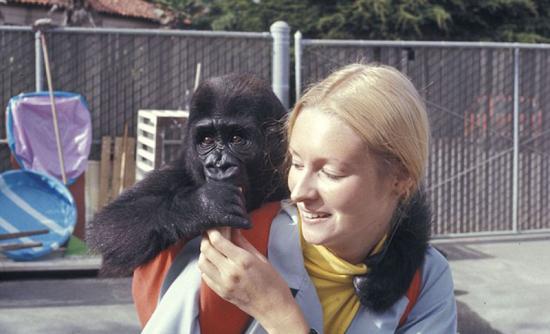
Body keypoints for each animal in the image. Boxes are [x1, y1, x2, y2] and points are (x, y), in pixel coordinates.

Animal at [87, 73, 288, 274]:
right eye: (207, 139)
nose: (219, 165)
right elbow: (111, 222)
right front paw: (206, 205)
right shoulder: (177, 171)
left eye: (236, 139)